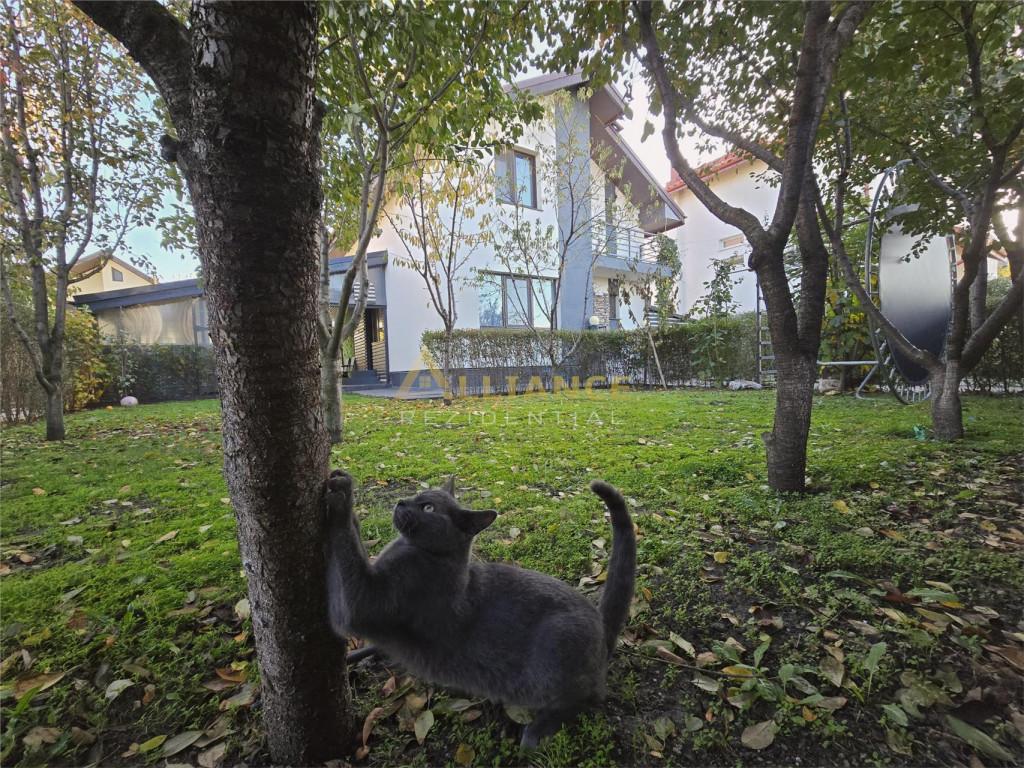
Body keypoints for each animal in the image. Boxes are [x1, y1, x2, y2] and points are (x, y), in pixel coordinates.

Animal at [324, 469, 636, 747]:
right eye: (416, 495)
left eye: (428, 507)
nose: (401, 501)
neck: (425, 553)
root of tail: (602, 625)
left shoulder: (365, 605)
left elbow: (349, 559)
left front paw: (342, 496)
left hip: (556, 650)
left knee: (589, 697)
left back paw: (537, 731)